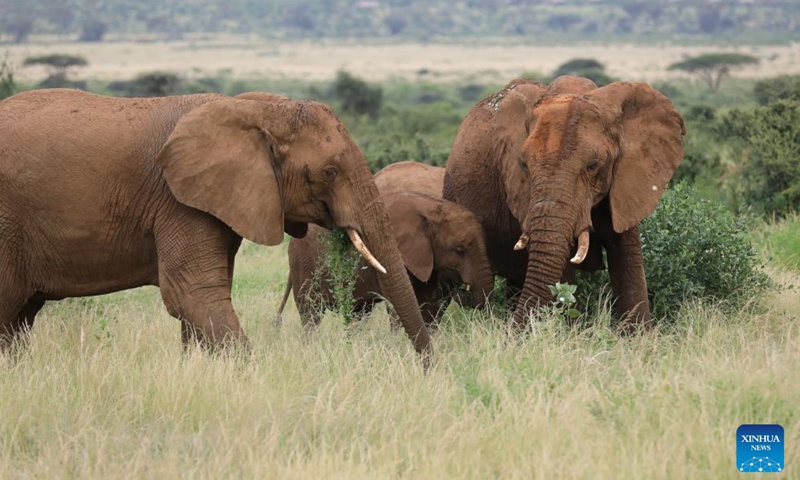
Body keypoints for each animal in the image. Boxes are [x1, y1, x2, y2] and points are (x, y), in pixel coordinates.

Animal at [0, 89, 432, 356]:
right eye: (328, 172)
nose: (428, 368)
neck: (255, 109)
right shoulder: (178, 200)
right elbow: (194, 295)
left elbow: (199, 302)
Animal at [278, 189, 496, 328]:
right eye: (459, 250)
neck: (431, 208)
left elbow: (431, 308)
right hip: (303, 264)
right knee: (311, 314)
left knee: (358, 314)